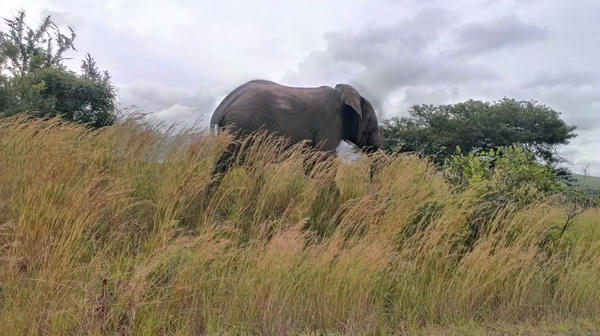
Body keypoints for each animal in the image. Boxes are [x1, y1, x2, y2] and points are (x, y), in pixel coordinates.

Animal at [206, 79, 384, 192]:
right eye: (372, 125)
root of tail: (222, 107)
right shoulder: (330, 123)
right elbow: (324, 165)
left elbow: (311, 166)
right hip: (241, 127)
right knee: (226, 164)